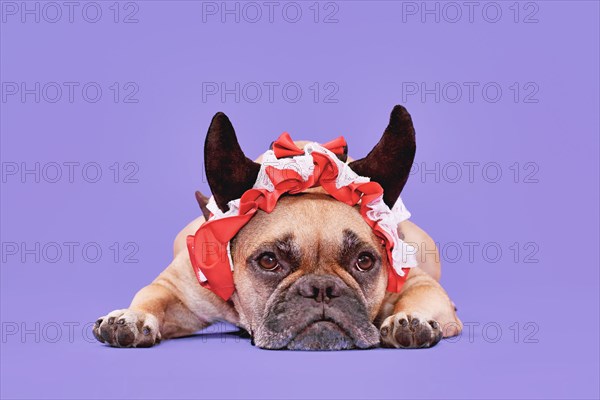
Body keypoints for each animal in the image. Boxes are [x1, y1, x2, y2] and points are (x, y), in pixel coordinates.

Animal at [91, 105, 462, 350]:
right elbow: (152, 296)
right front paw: (132, 317)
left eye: (365, 262)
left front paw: (409, 319)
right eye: (269, 261)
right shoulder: (179, 289)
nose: (322, 288)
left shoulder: (417, 281)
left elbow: (421, 294)